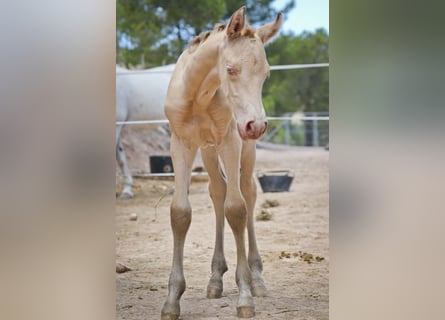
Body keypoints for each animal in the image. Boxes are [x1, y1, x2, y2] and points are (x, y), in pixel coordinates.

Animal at [161, 6, 282, 318]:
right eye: (230, 69)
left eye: (266, 74)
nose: (257, 125)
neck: (199, 96)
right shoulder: (181, 143)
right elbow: (180, 213)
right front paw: (172, 300)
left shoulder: (231, 139)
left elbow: (237, 209)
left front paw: (245, 296)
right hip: (208, 150)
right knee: (218, 191)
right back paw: (215, 278)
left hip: (245, 148)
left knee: (248, 192)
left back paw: (257, 278)